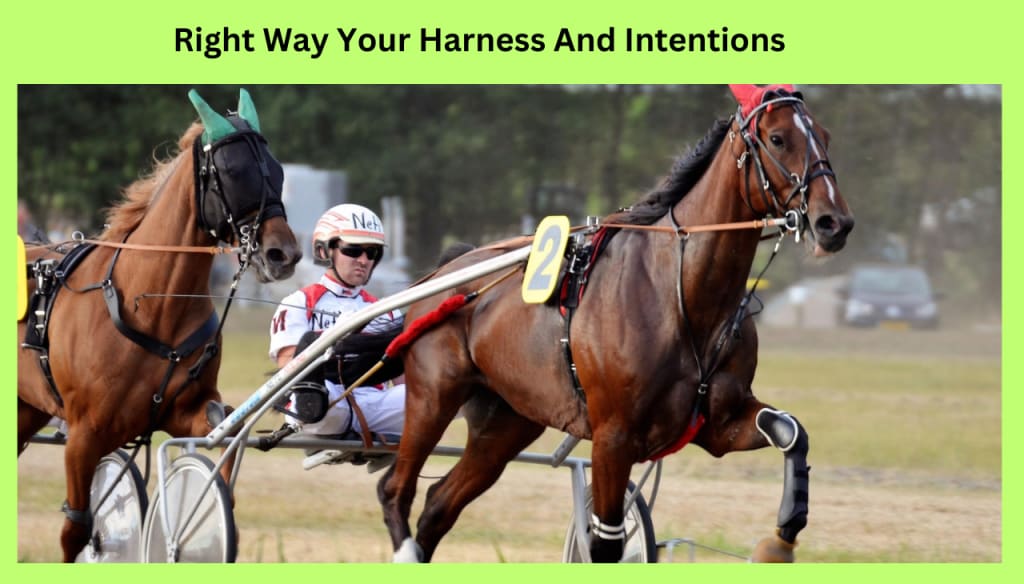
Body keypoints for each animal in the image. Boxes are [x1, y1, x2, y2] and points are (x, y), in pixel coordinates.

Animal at [17, 89, 301, 562]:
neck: (150, 304)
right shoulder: (84, 435)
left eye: (277, 171)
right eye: (232, 171)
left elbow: (218, 447)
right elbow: (76, 530)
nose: (283, 254)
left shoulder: (188, 411)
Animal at [377, 84, 854, 562]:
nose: (835, 222)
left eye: (827, 136)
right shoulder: (613, 437)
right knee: (395, 489)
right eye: (777, 138)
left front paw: (782, 537)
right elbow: (605, 543)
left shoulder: (719, 424)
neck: (679, 294)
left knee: (438, 505)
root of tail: (441, 275)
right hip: (433, 396)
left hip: (507, 421)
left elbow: (790, 431)